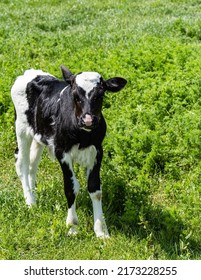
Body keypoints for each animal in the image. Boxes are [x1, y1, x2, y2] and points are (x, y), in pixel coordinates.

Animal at [11, 65, 126, 238]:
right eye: (75, 95)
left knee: (32, 165)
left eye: (101, 94)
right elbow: (71, 188)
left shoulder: (97, 151)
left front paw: (101, 231)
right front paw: (72, 227)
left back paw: (34, 196)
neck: (83, 135)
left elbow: (95, 189)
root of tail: (30, 73)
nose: (88, 120)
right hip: (21, 128)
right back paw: (30, 202)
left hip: (38, 136)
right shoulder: (62, 152)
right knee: (22, 164)